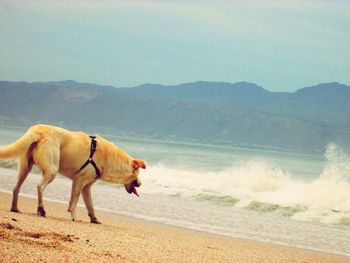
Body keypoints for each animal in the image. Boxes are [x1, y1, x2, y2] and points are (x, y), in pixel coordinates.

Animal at [0, 125, 146, 224]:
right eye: (138, 173)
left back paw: (15, 208)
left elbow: (90, 205)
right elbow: (74, 202)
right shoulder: (79, 182)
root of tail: (37, 130)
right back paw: (41, 209)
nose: (140, 183)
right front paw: (74, 217)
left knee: (16, 188)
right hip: (52, 170)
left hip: (25, 168)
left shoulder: (86, 187)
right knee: (39, 187)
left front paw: (94, 219)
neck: (109, 158)